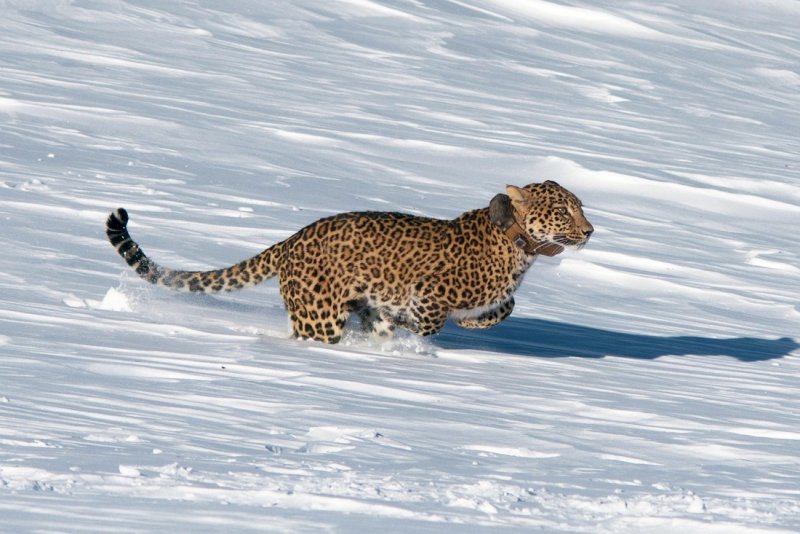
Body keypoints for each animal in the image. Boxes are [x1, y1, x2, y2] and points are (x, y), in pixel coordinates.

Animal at [106, 182, 592, 346]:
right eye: (563, 211)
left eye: (579, 208)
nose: (589, 231)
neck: (520, 245)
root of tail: (291, 239)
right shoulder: (429, 292)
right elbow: (428, 320)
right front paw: (410, 333)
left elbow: (505, 306)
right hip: (319, 318)